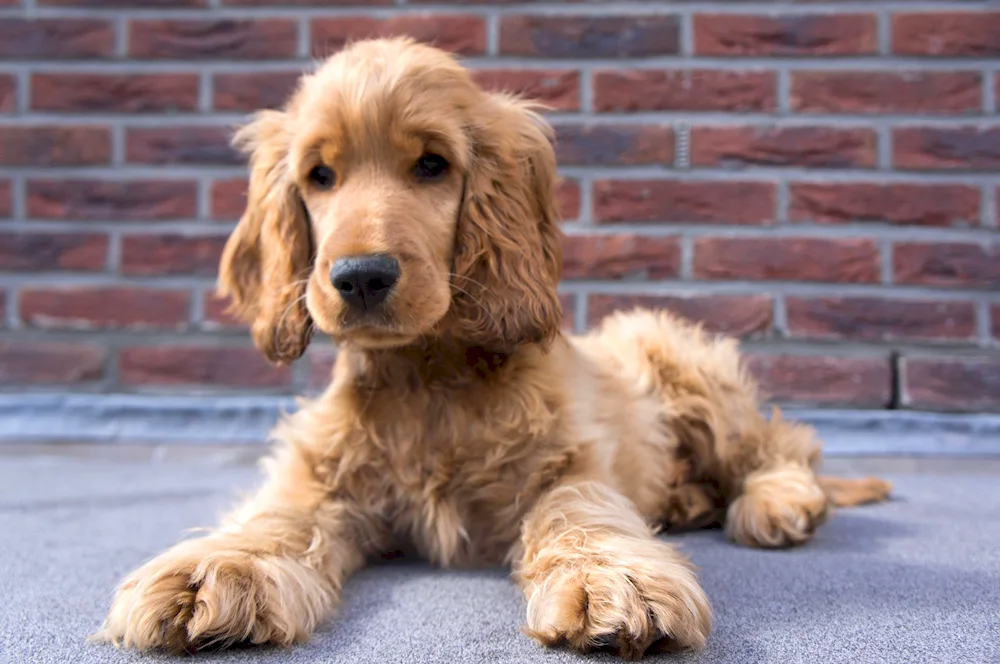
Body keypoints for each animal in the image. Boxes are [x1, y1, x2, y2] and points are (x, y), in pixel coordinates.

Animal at [92, 39, 892, 660]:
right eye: (320, 175)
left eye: (432, 165)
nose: (360, 276)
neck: (427, 377)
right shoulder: (323, 478)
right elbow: (278, 518)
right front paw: (214, 570)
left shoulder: (565, 462)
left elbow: (579, 512)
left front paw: (612, 581)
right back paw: (690, 500)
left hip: (690, 369)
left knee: (783, 445)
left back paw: (776, 503)